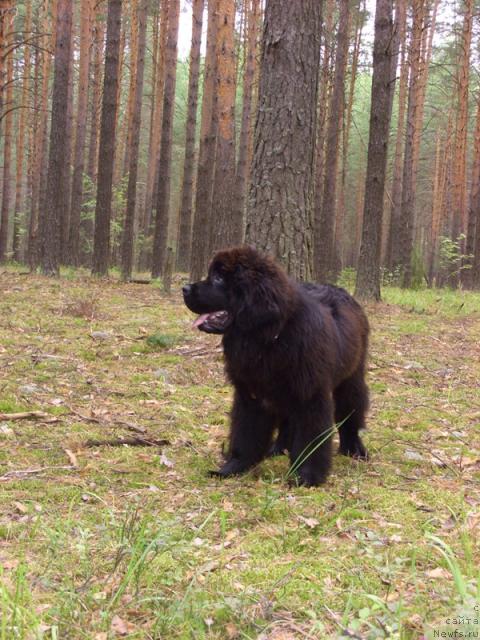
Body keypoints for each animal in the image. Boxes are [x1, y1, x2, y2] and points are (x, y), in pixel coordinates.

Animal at [182, 245, 370, 484]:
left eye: (218, 278)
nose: (184, 288)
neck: (268, 337)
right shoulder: (251, 395)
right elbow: (245, 433)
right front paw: (234, 467)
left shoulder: (311, 395)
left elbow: (310, 437)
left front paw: (306, 476)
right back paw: (279, 448)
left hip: (350, 377)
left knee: (351, 413)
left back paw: (353, 448)